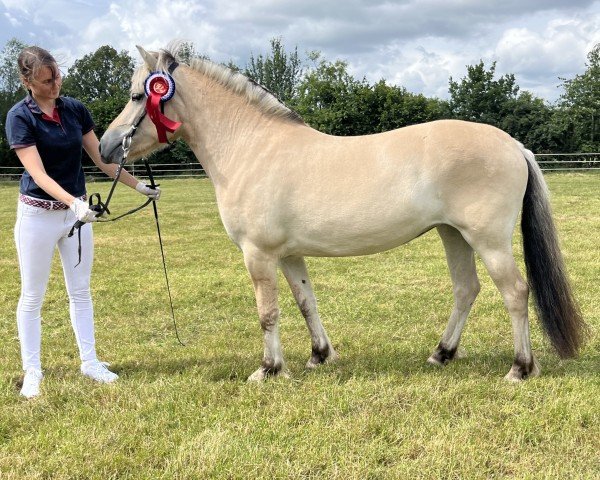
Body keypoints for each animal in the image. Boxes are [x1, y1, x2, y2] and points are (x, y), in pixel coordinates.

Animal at [99, 45, 584, 382]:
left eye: (136, 95)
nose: (105, 147)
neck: (252, 146)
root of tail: (512, 144)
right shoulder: (288, 254)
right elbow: (305, 302)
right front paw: (319, 356)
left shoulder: (258, 254)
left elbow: (268, 312)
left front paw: (268, 369)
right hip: (453, 234)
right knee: (467, 289)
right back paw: (441, 354)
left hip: (488, 239)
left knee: (515, 292)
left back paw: (520, 368)